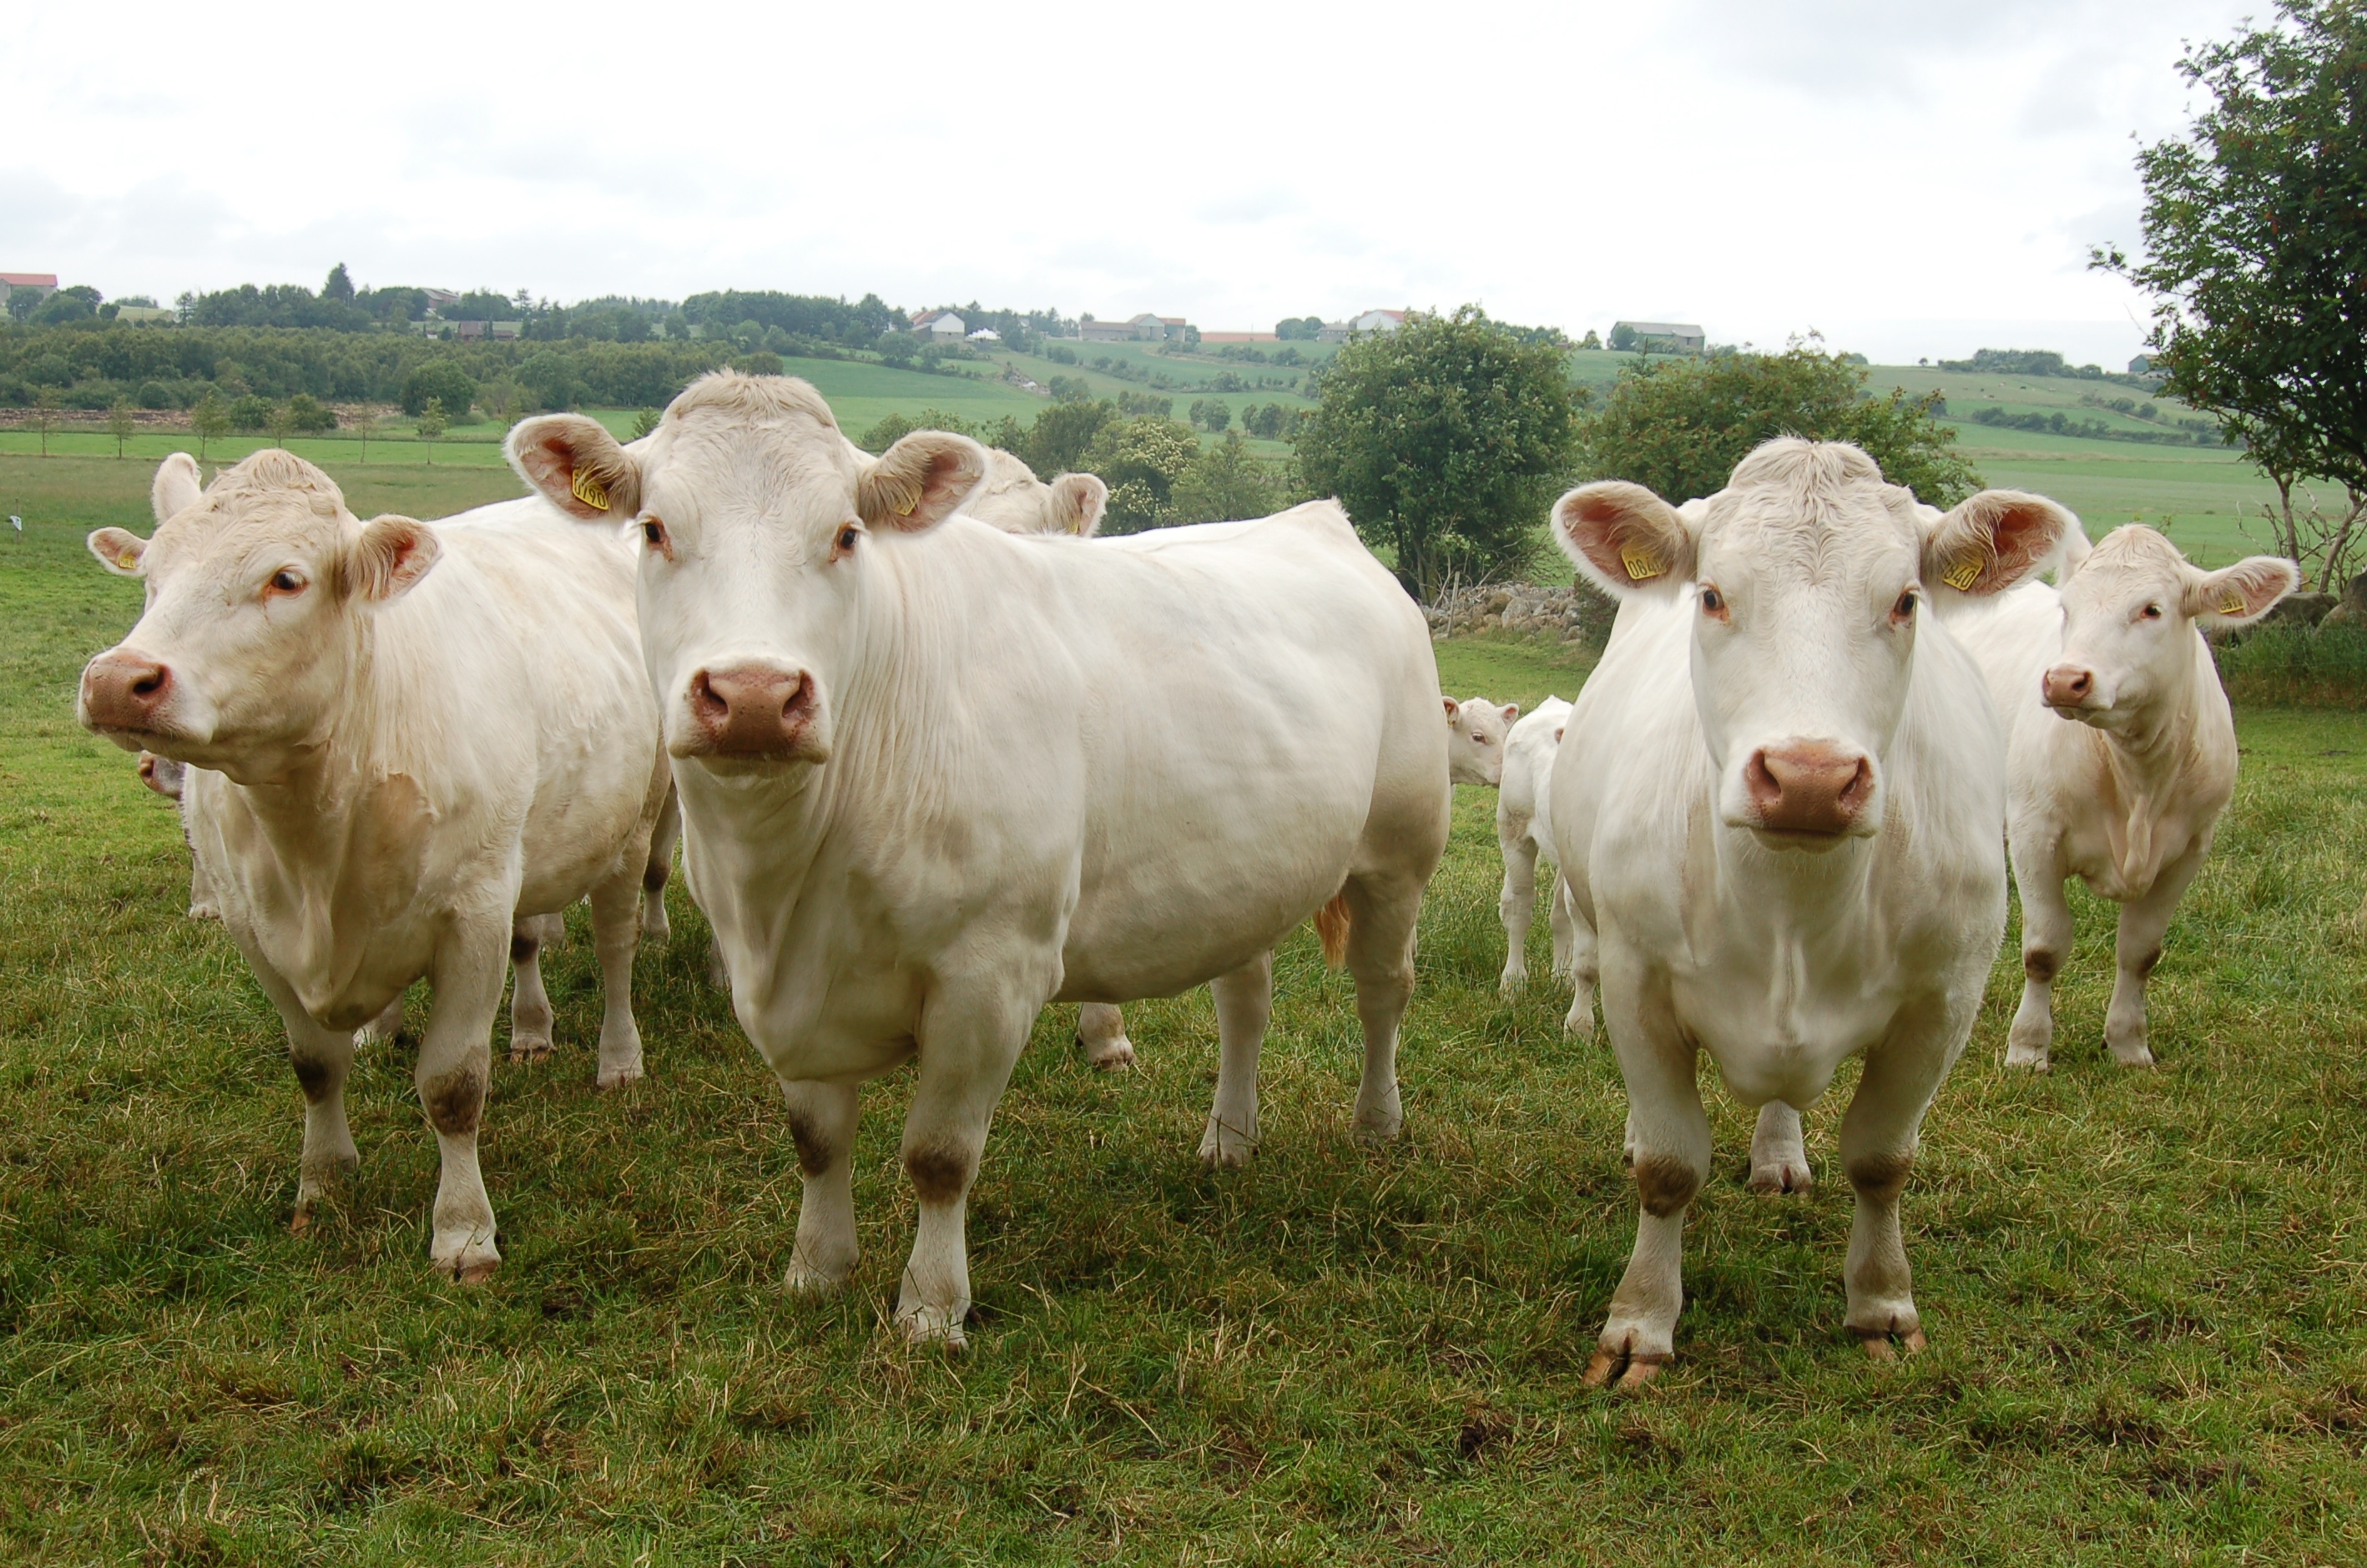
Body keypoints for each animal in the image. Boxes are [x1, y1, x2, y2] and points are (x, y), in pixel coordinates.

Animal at [81, 446, 677, 1286]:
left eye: (286, 579)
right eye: (152, 576)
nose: (117, 680)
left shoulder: (473, 915)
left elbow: (453, 1086)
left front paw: (463, 1233)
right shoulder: (253, 928)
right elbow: (313, 1066)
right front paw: (323, 1181)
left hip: (631, 826)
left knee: (617, 946)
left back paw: (617, 1057)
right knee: (529, 941)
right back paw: (505, 1028)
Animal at [508, 373, 1448, 1343]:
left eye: (847, 534)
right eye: (654, 529)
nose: (757, 695)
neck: (788, 885)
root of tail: (1316, 518)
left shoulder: (991, 975)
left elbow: (940, 1156)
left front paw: (930, 1308)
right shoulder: (779, 988)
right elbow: (817, 1141)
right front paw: (816, 1270)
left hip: (1400, 850)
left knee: (1384, 991)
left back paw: (1375, 1122)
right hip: (1245, 877)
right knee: (1245, 1002)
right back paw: (1229, 1137)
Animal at [1543, 437, 2063, 1390]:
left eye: (1905, 600)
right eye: (1713, 595)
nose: (1810, 777)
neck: (1790, 905)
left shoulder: (1946, 998)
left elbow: (1883, 1159)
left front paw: (1883, 1304)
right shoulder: (1637, 980)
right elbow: (1670, 1165)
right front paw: (1641, 1321)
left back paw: (1779, 1154)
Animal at [1941, 520, 2291, 1073]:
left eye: (2152, 609)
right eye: (2068, 608)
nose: (2066, 680)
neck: (2138, 784)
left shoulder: (2190, 850)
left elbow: (2140, 952)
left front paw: (2129, 1044)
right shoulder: (2034, 833)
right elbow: (2044, 948)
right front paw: (2028, 1048)